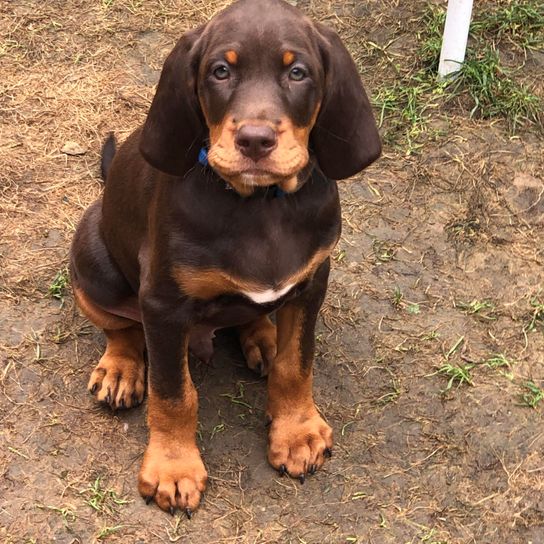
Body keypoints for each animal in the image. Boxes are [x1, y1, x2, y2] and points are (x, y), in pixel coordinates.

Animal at [70, 0, 380, 516]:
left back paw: (263, 337)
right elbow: (173, 393)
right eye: (220, 71)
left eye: (297, 72)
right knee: (120, 325)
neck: (260, 204)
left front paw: (296, 432)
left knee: (255, 319)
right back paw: (121, 367)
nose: (255, 140)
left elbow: (297, 364)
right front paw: (173, 468)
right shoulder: (163, 303)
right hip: (92, 259)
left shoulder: (312, 282)